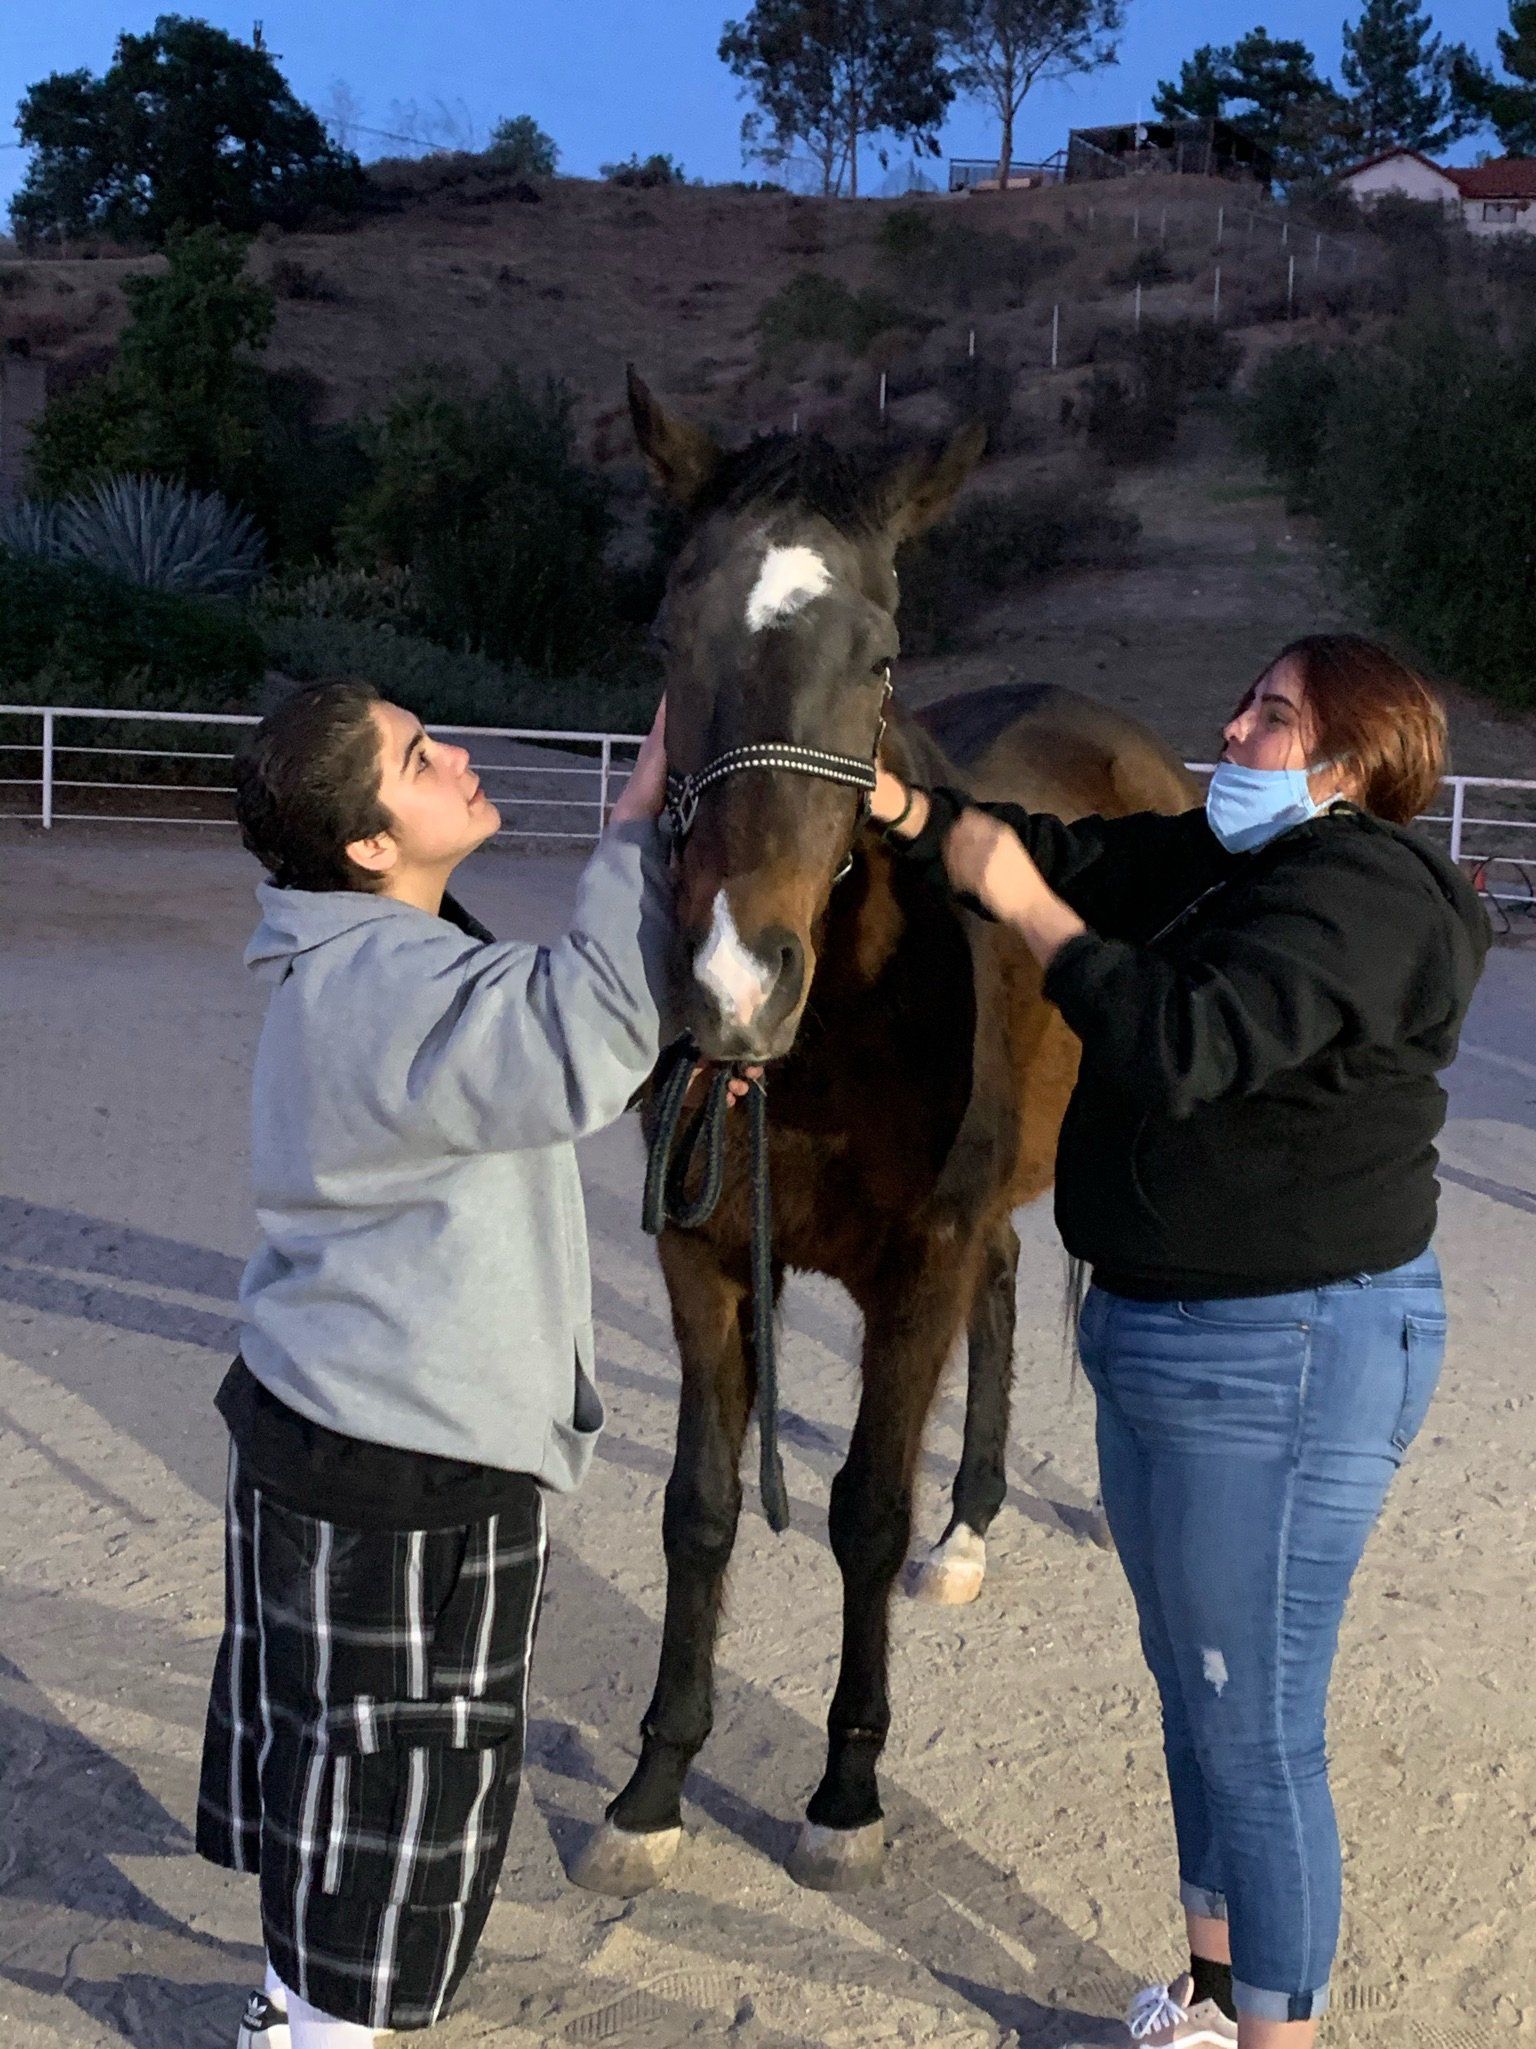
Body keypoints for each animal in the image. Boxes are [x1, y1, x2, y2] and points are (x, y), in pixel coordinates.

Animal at [570, 374, 1196, 1899]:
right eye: (669, 635)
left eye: (883, 653)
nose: (734, 980)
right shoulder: (705, 1259)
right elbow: (699, 1509)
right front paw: (653, 1788)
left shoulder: (916, 1261)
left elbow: (860, 1510)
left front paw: (844, 1792)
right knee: (1010, 1295)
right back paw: (969, 1529)